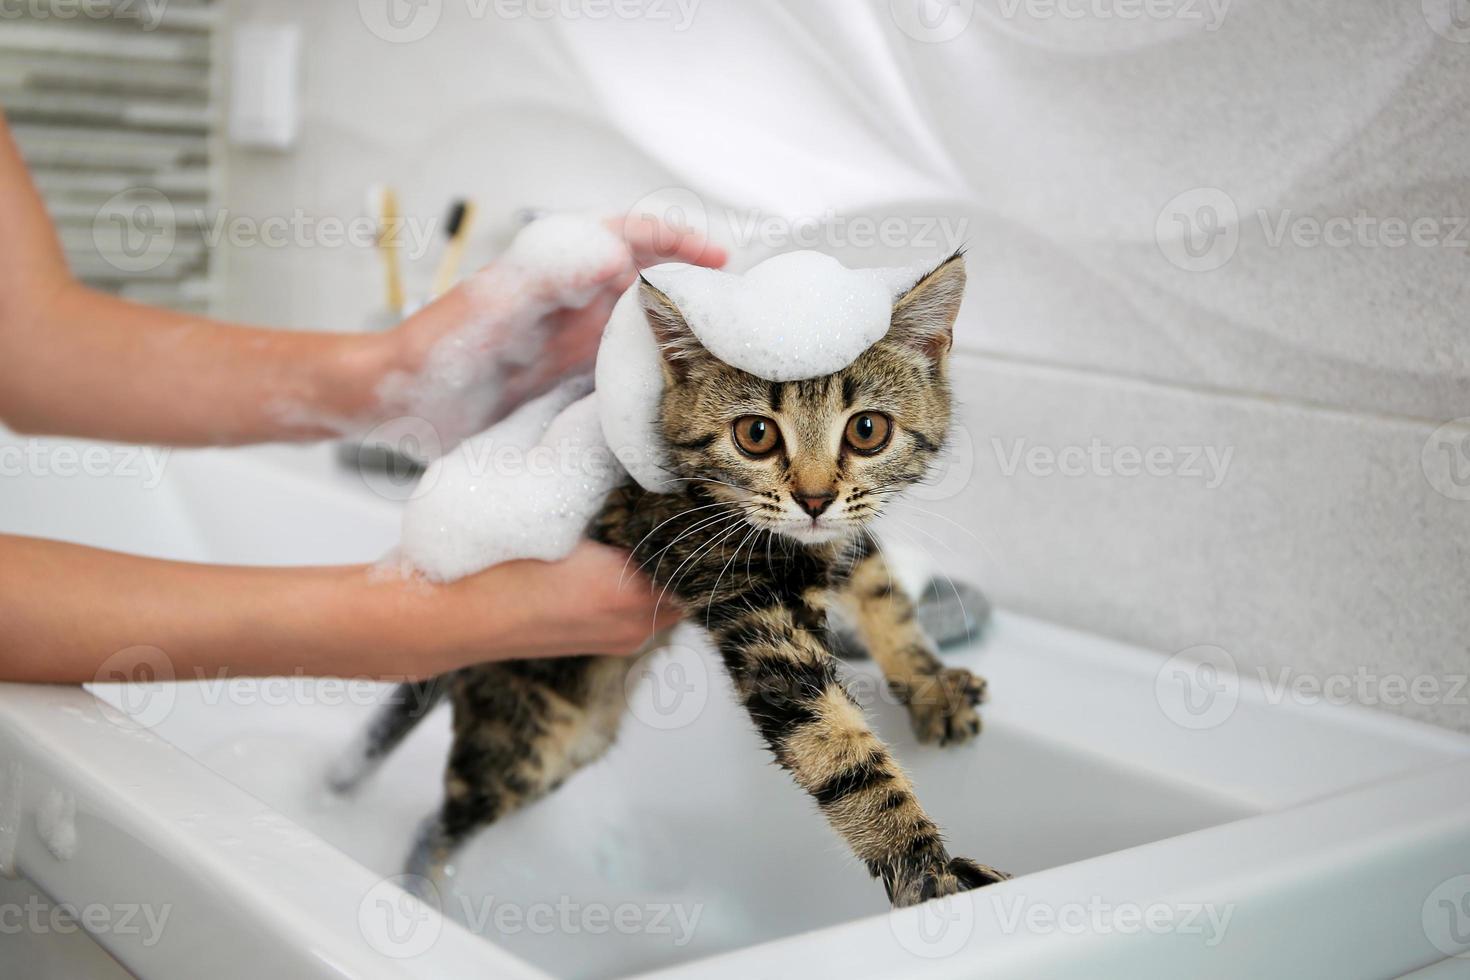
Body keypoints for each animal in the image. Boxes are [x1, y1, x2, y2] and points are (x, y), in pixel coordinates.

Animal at [336, 255, 1011, 910]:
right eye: (756, 434)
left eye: (868, 430)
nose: (815, 499)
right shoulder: (740, 593)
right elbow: (832, 741)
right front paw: (923, 865)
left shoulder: (846, 532)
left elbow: (882, 592)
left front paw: (931, 685)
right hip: (532, 735)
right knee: (447, 818)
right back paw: (424, 893)